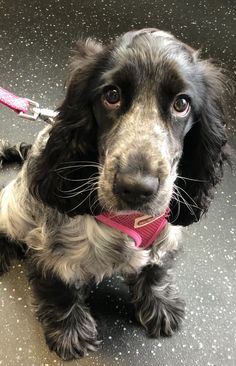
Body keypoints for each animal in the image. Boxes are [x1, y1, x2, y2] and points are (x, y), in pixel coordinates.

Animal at [0, 29, 230, 360]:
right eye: (111, 95)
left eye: (181, 104)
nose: (136, 187)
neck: (132, 219)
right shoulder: (53, 249)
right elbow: (60, 289)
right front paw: (70, 332)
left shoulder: (165, 235)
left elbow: (156, 270)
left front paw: (159, 305)